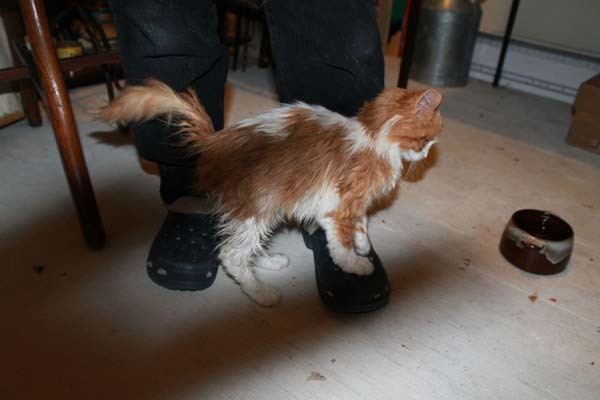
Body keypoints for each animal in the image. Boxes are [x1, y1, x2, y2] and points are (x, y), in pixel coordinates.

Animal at [101, 80, 442, 306]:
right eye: (427, 139)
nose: (427, 154)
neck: (374, 136)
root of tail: (216, 143)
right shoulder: (338, 206)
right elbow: (341, 243)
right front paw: (355, 264)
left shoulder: (351, 205)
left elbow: (361, 226)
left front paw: (363, 245)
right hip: (257, 207)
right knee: (232, 254)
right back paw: (261, 293)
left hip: (262, 210)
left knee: (242, 247)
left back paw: (268, 262)